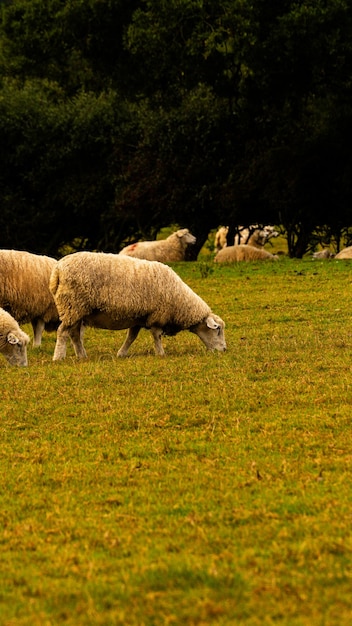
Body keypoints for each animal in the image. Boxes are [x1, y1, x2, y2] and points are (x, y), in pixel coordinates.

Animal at [48, 250, 226, 360]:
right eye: (217, 330)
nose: (224, 350)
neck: (181, 301)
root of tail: (57, 270)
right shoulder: (157, 316)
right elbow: (156, 336)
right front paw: (161, 353)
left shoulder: (139, 317)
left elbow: (131, 337)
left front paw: (121, 353)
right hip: (72, 305)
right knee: (62, 332)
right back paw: (58, 357)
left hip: (77, 310)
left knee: (74, 334)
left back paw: (82, 355)